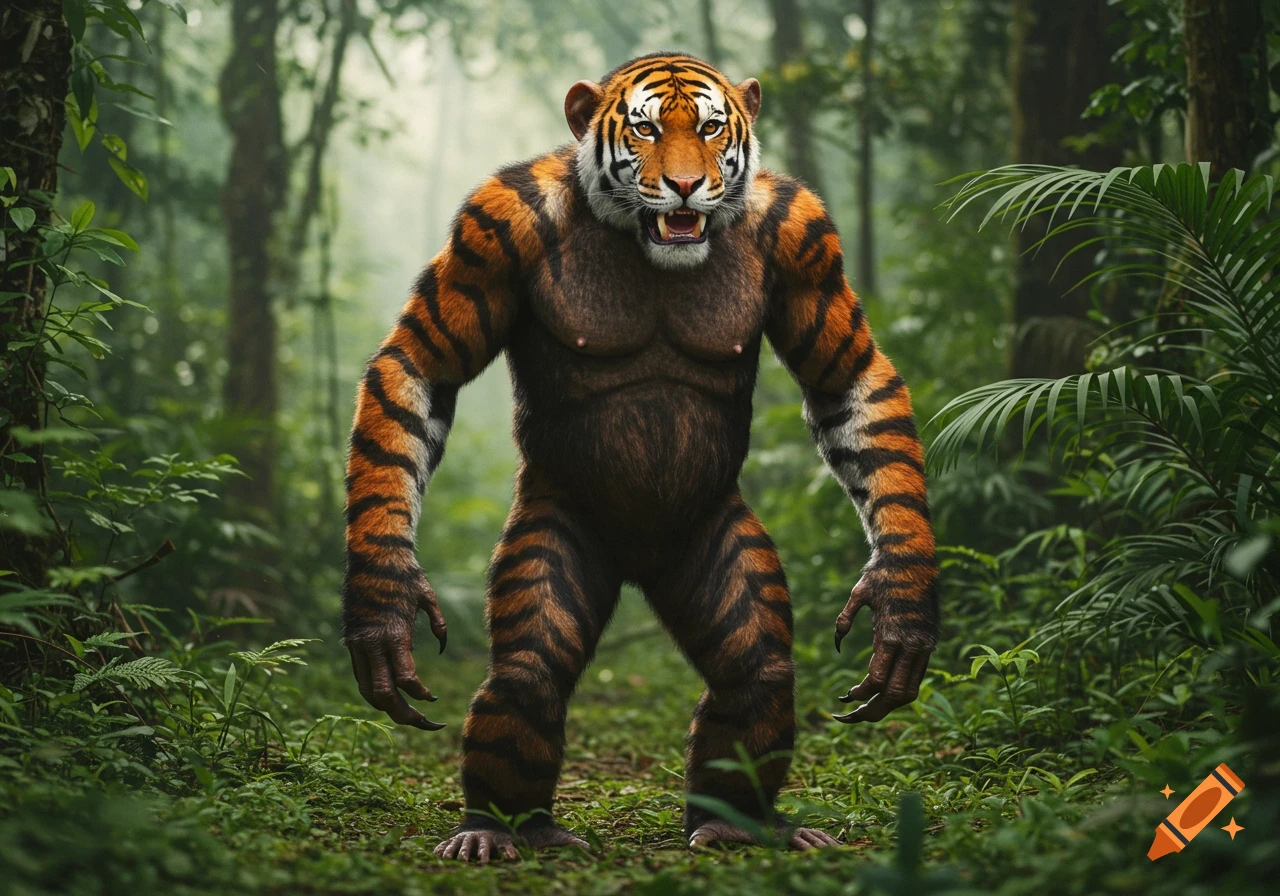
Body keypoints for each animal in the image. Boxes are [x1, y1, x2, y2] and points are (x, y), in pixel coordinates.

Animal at [340, 52, 939, 863]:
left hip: (712, 547)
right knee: (527, 676)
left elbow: (848, 381)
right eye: (648, 129)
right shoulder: (489, 228)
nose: (685, 184)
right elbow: (419, 369)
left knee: (755, 672)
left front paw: (902, 600)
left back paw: (736, 821)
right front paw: (383, 600)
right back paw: (500, 829)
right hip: (559, 536)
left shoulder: (806, 238)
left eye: (712, 128)